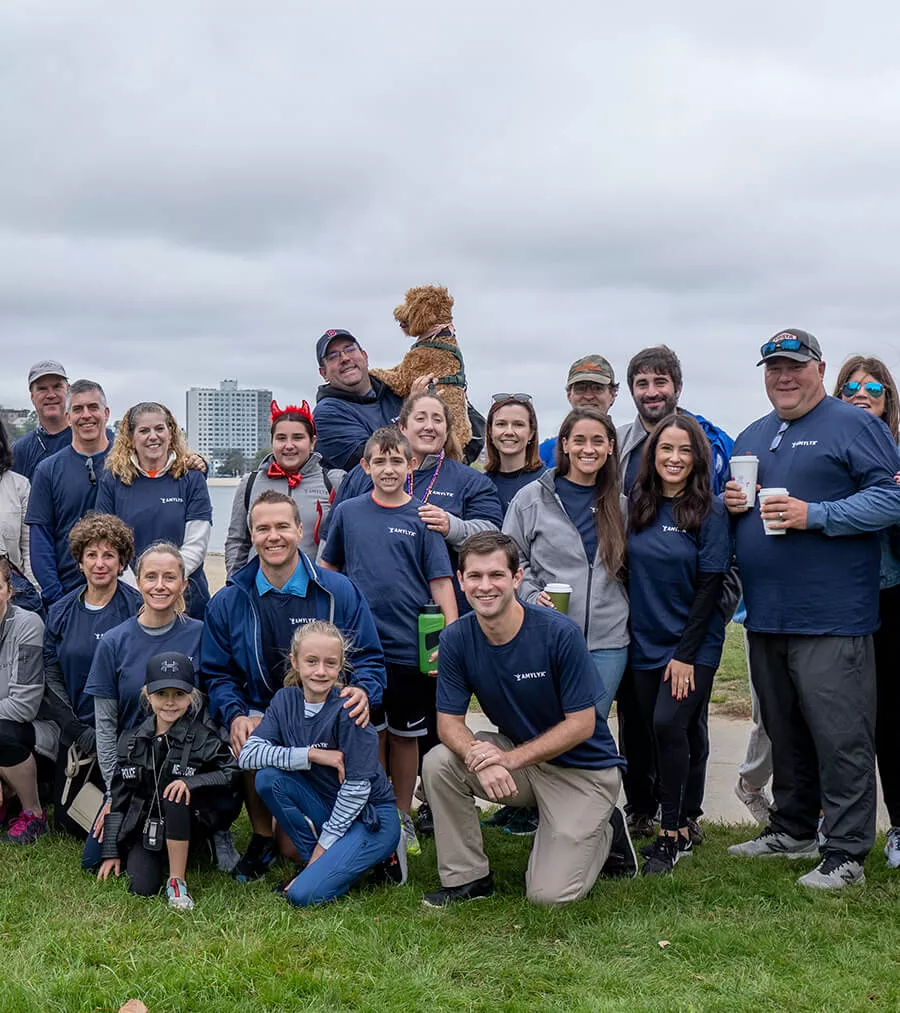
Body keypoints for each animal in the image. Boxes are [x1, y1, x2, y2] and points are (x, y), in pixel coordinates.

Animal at [368, 283, 474, 453]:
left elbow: (385, 373)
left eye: (409, 300)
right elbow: (391, 368)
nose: (395, 311)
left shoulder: (402, 378)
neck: (438, 335)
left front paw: (371, 370)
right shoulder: (401, 368)